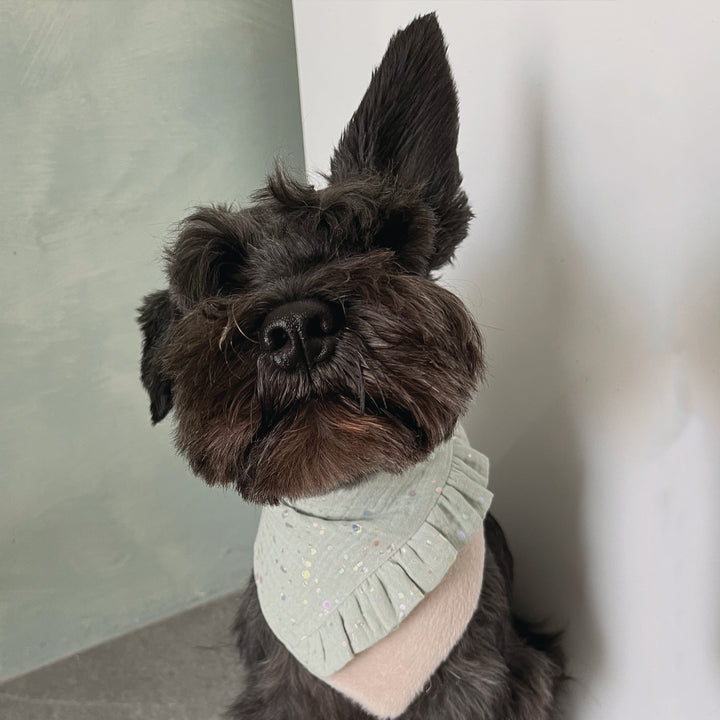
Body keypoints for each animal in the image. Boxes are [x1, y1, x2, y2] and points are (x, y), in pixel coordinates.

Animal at [138, 11, 564, 720]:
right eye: (220, 277)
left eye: (372, 236)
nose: (296, 329)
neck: (351, 517)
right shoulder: (281, 686)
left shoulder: (475, 684)